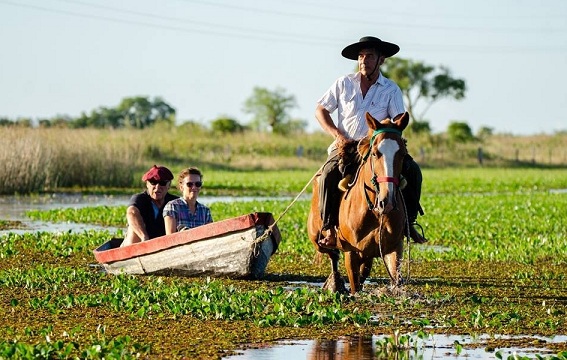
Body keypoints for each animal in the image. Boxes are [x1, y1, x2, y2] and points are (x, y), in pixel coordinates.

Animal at [308, 112, 410, 296]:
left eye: (402, 154)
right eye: (375, 153)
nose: (387, 201)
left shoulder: (394, 248)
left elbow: (395, 278)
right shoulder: (352, 253)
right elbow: (355, 286)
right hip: (317, 241)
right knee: (332, 255)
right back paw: (335, 283)